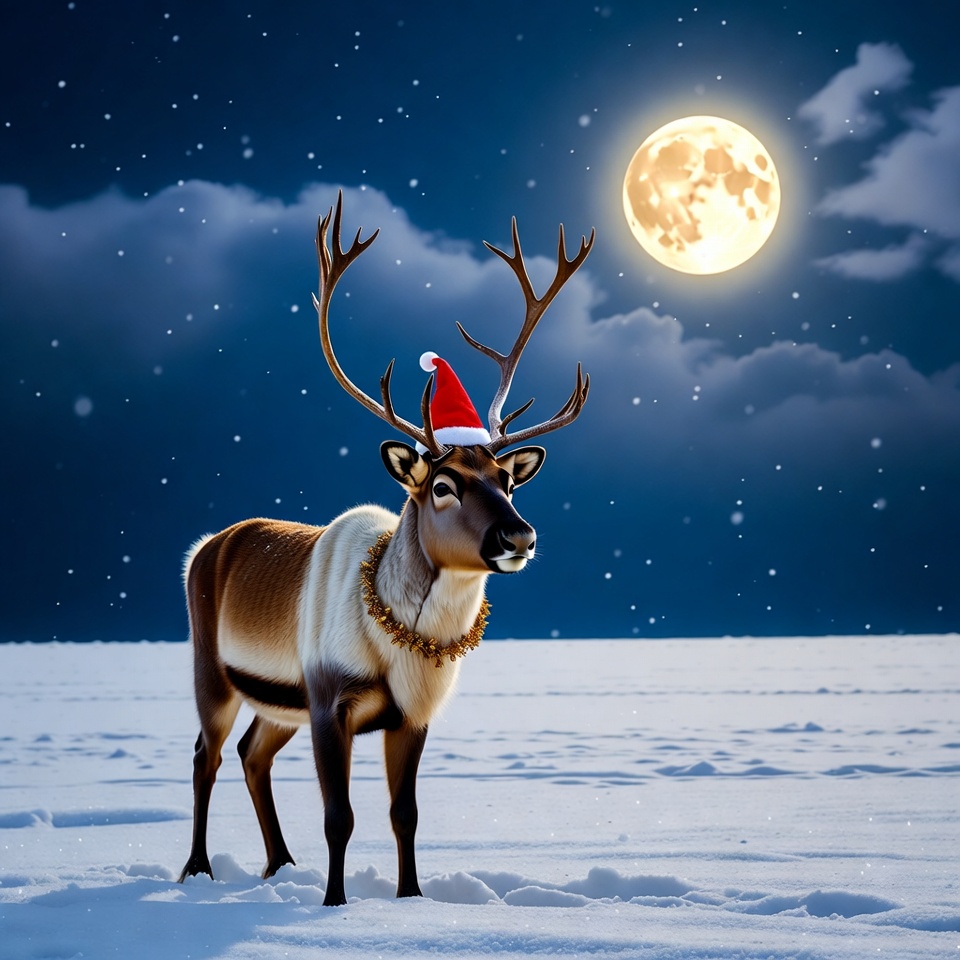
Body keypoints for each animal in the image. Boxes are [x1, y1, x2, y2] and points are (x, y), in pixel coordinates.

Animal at [177, 192, 594, 906]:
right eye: (443, 485)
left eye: (508, 480)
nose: (519, 536)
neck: (403, 643)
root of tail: (205, 546)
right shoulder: (327, 698)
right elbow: (338, 816)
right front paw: (336, 902)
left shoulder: (412, 715)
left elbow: (405, 813)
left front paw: (410, 899)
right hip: (213, 670)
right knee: (207, 754)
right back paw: (198, 869)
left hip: (276, 701)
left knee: (253, 753)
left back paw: (279, 864)